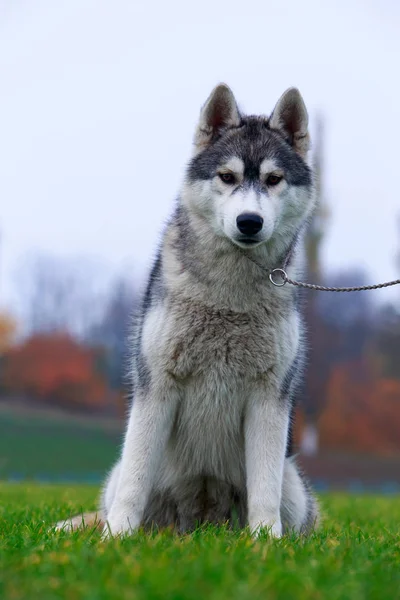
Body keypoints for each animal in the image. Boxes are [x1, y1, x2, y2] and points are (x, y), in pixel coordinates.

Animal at [57, 83, 318, 536]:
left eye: (273, 180)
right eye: (227, 177)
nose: (249, 221)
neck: (228, 298)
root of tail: (200, 523)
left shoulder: (270, 396)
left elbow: (264, 491)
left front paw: (265, 541)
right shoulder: (157, 385)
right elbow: (134, 483)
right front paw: (116, 538)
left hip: (293, 487)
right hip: (124, 475)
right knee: (119, 495)